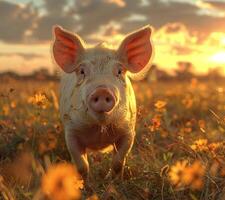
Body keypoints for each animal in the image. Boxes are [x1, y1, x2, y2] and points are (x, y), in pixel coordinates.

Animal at [51, 24, 153, 180]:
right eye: (82, 71)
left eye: (119, 71)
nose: (102, 90)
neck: (100, 129)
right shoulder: (71, 131)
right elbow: (81, 165)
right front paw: (84, 182)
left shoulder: (129, 131)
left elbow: (118, 161)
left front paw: (111, 180)